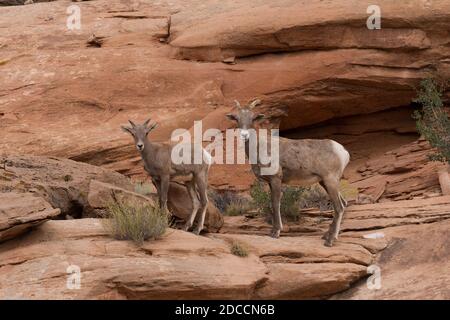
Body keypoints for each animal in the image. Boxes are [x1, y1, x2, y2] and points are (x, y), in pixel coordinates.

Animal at [227, 100, 350, 248]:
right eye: (237, 118)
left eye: (253, 118)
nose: (244, 135)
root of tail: (343, 152)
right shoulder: (270, 182)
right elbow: (272, 203)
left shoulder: (276, 179)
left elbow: (275, 203)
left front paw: (276, 233)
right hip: (325, 182)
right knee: (343, 203)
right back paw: (327, 236)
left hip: (330, 181)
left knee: (339, 207)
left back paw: (329, 241)